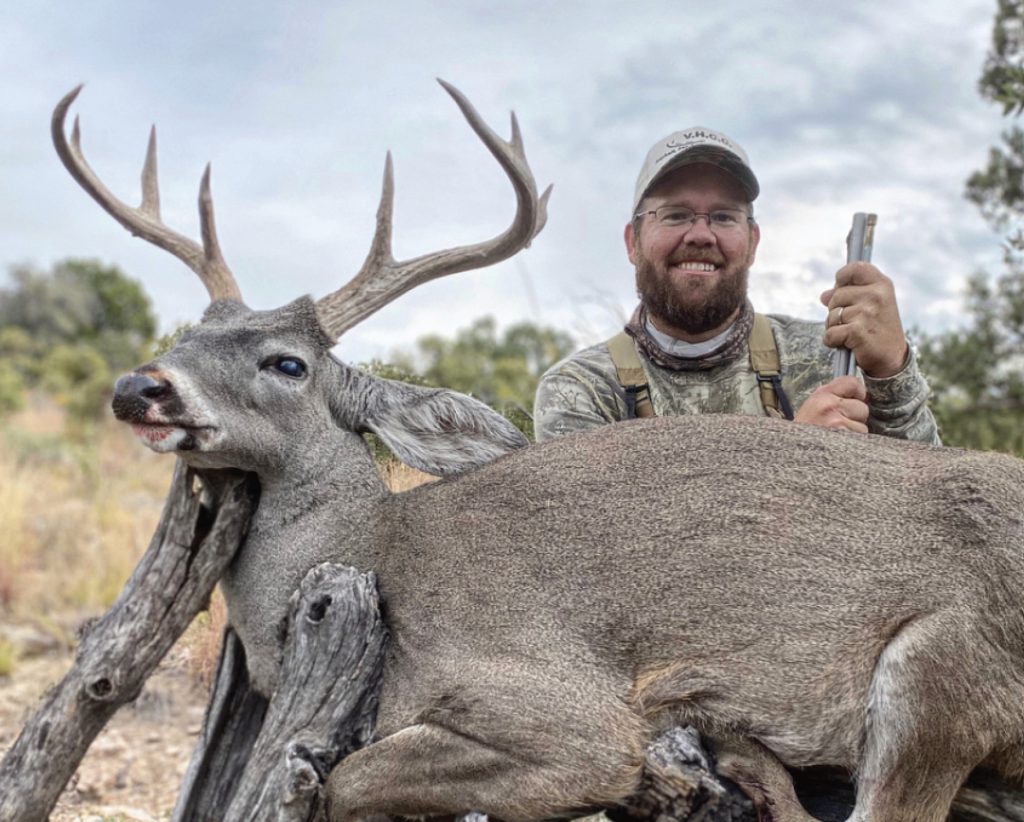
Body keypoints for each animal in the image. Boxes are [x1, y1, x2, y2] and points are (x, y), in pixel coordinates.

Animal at [51, 81, 1024, 822]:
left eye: (287, 363)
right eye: (181, 336)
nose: (141, 387)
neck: (377, 554)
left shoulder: (568, 713)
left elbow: (350, 782)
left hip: (939, 678)